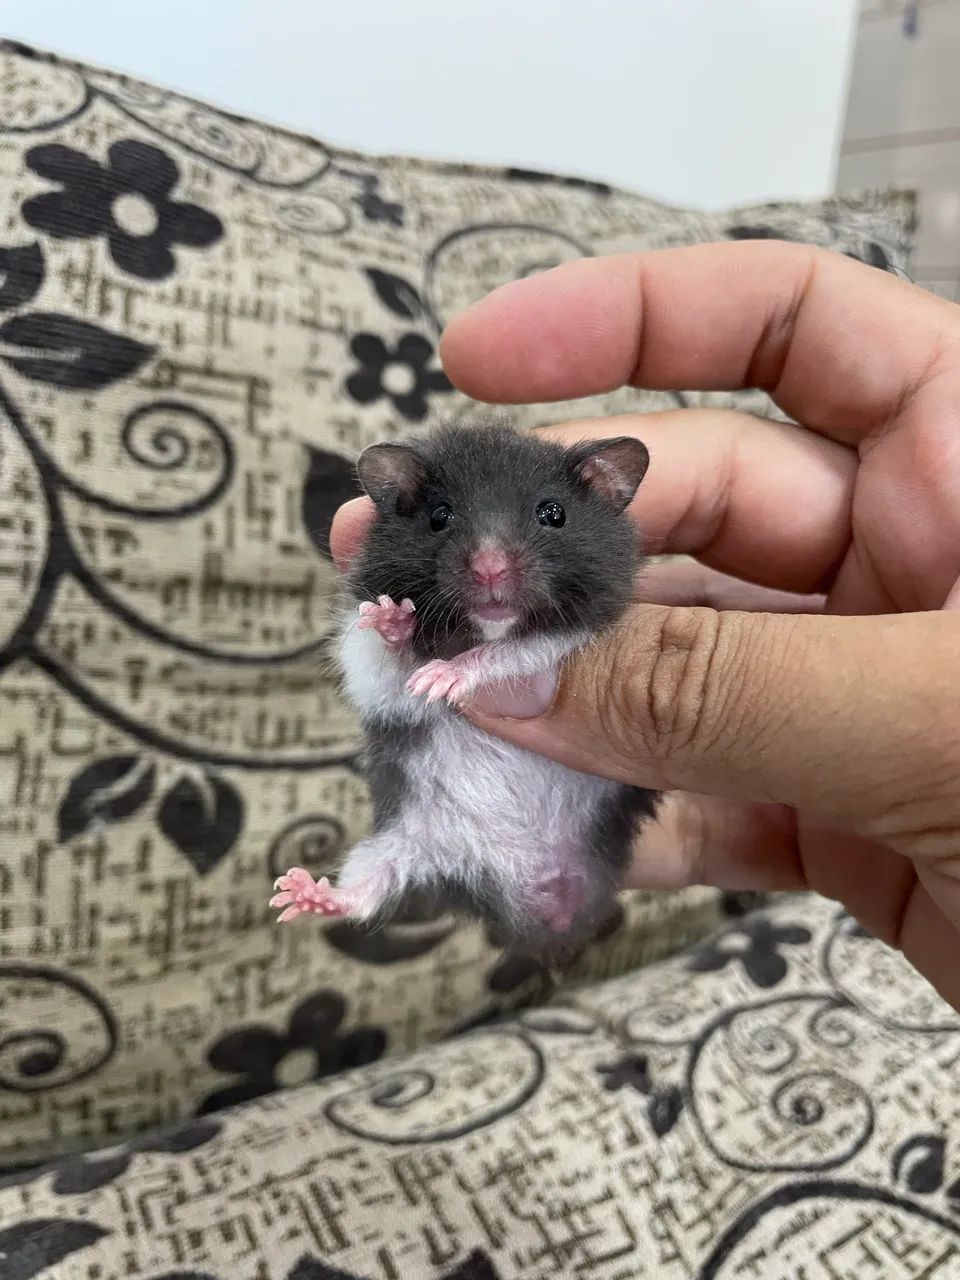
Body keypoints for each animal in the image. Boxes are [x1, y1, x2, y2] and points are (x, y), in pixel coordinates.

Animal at [272, 420, 659, 949]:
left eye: (552, 514)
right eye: (440, 516)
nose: (489, 570)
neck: (486, 626)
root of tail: (542, 899)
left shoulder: (574, 635)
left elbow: (509, 653)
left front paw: (444, 675)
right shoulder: (370, 673)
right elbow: (386, 665)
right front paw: (395, 621)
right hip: (400, 842)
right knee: (369, 888)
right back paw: (301, 893)